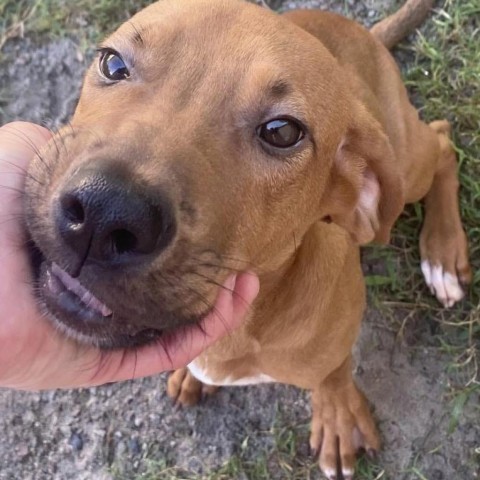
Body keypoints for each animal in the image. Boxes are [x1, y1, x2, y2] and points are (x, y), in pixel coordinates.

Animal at [24, 1, 470, 478]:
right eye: (112, 63)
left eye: (282, 132)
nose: (103, 213)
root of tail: (362, 34)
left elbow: (334, 372)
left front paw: (337, 415)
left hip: (405, 163)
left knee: (444, 141)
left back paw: (443, 254)